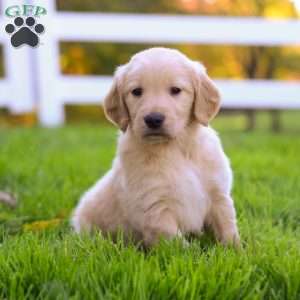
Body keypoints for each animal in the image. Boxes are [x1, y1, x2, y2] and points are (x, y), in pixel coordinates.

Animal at [72, 47, 239, 246]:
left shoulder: (218, 194)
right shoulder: (155, 207)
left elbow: (227, 227)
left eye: (175, 90)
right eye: (136, 91)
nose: (153, 119)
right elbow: (176, 243)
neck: (176, 147)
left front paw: (237, 250)